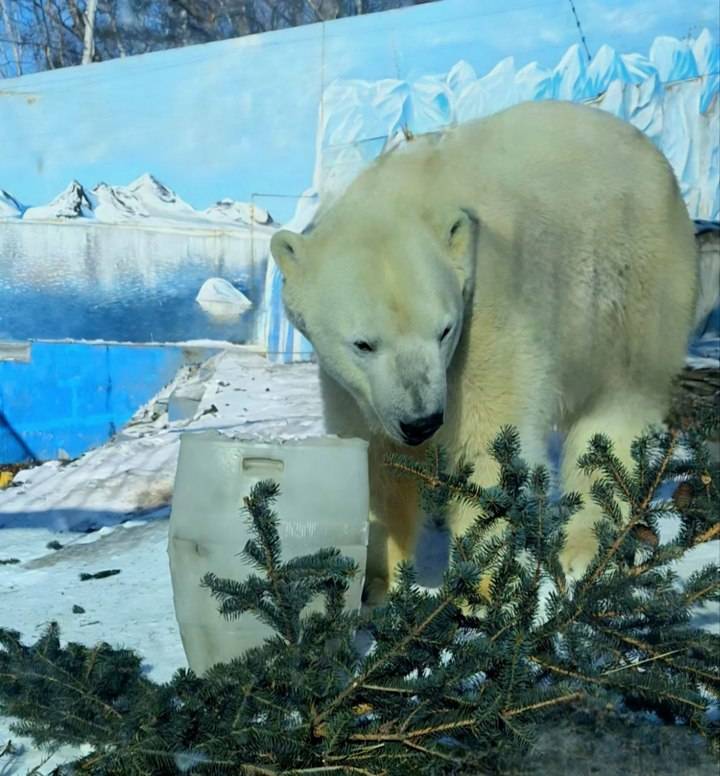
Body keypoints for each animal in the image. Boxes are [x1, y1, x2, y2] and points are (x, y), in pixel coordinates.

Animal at [272, 100, 696, 604]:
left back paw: (585, 548)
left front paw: (483, 590)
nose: (422, 422)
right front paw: (379, 582)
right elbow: (378, 460)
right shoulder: (354, 388)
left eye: (444, 330)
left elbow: (492, 442)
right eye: (363, 343)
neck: (411, 194)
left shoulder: (488, 307)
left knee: (617, 409)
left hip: (632, 283)